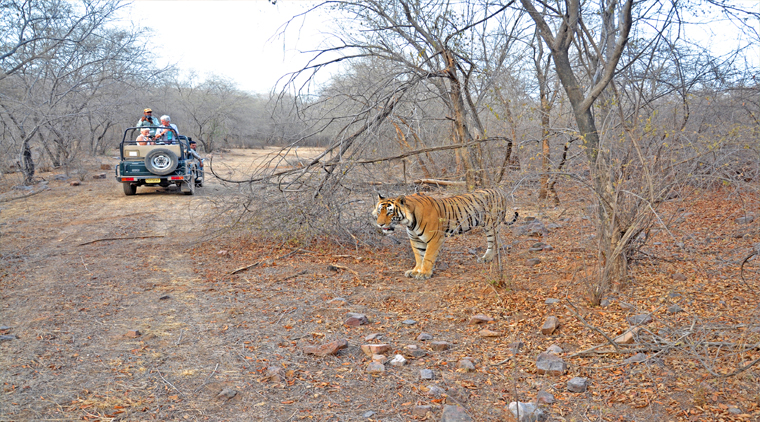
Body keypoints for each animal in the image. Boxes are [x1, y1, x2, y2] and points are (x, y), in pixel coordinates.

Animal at [373, 188, 518, 279]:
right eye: (380, 211)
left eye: (390, 212)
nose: (379, 224)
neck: (409, 222)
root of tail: (499, 191)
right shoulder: (415, 239)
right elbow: (419, 256)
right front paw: (415, 271)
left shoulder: (434, 238)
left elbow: (427, 256)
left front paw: (424, 273)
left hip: (490, 225)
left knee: (493, 242)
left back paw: (487, 258)